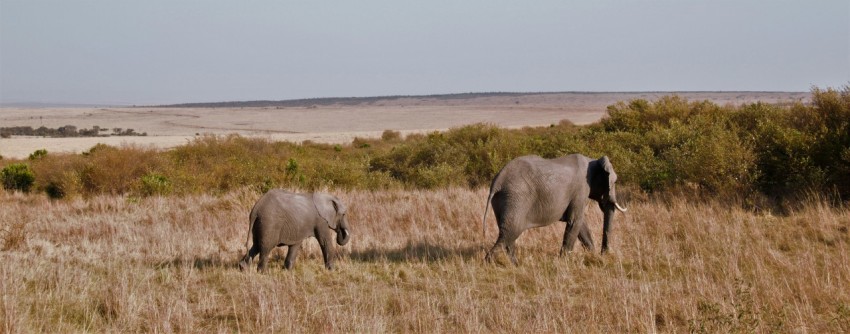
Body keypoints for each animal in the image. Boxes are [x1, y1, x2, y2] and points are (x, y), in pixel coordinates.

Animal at [484, 154, 624, 264]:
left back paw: (515, 265)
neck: (593, 160)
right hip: (516, 197)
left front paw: (592, 255)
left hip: (503, 200)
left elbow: (579, 223)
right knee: (510, 232)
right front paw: (564, 262)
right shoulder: (581, 189)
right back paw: (489, 263)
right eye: (614, 182)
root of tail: (498, 181)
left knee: (508, 234)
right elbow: (575, 221)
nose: (604, 254)